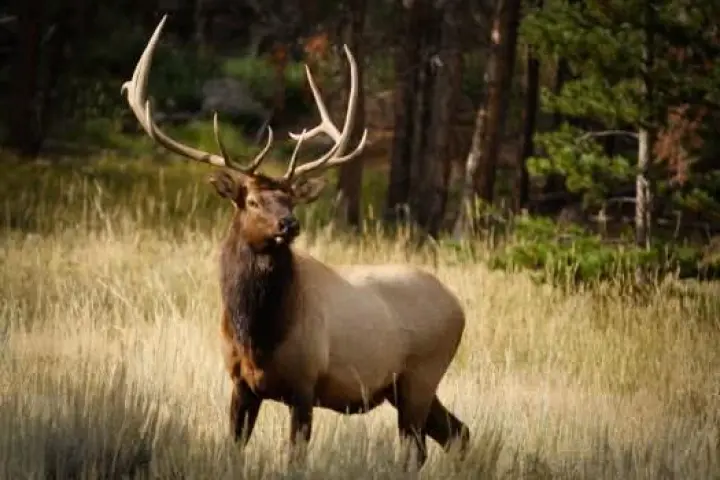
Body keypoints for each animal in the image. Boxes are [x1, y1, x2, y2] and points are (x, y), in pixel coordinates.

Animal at [121, 15, 470, 471]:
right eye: (251, 200)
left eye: (289, 199)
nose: (289, 224)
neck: (257, 335)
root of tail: (459, 306)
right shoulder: (240, 384)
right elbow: (234, 447)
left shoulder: (305, 383)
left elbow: (295, 458)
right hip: (406, 387)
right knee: (458, 434)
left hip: (421, 374)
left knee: (419, 449)